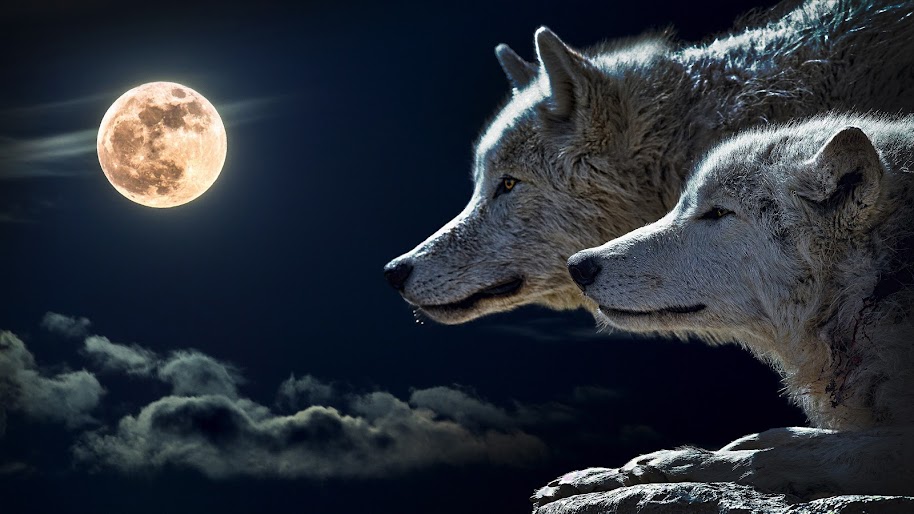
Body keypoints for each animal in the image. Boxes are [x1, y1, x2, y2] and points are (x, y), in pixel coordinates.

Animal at [533, 114, 914, 505]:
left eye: (718, 212)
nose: (578, 265)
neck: (875, 287)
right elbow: (787, 437)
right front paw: (599, 475)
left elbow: (782, 456)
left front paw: (669, 464)